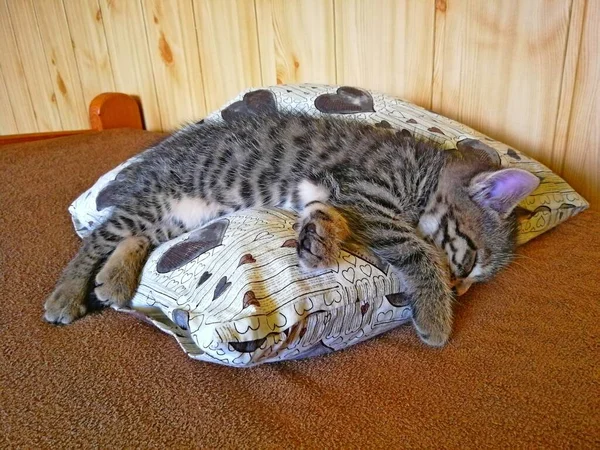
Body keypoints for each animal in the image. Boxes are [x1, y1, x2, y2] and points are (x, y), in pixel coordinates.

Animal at [43, 112, 540, 344]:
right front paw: (437, 315)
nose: (460, 290)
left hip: (183, 215)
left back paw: (114, 279)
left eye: (475, 282)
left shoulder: (340, 196)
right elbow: (417, 249)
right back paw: (67, 294)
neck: (422, 170)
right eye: (470, 263)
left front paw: (319, 239)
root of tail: (153, 155)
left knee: (136, 235)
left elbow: (324, 214)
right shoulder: (371, 195)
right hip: (162, 199)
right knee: (98, 236)